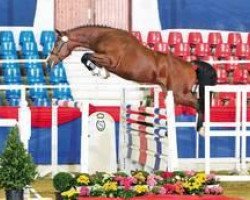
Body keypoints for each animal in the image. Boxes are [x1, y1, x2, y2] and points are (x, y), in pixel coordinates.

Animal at [47, 25, 217, 131]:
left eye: (57, 44)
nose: (49, 62)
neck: (104, 36)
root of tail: (191, 65)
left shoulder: (110, 60)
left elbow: (86, 55)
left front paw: (98, 72)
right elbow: (87, 57)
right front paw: (100, 72)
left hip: (179, 94)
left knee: (200, 104)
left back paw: (201, 129)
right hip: (174, 93)